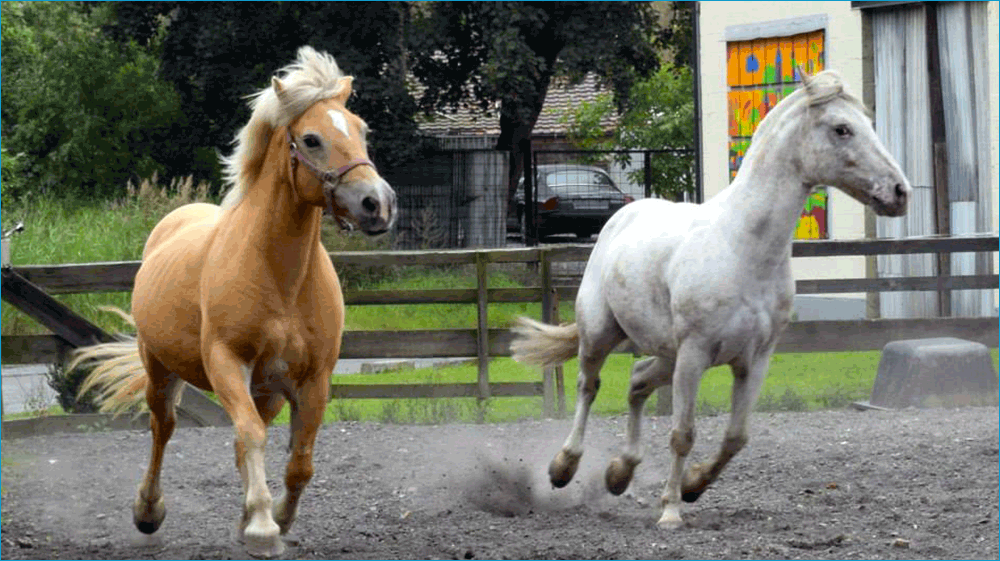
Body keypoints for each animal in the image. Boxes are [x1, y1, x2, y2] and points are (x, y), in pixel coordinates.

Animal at [72, 48, 394, 556]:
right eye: (311, 139)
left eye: (361, 130)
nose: (377, 204)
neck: (280, 279)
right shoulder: (226, 362)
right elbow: (251, 436)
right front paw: (263, 527)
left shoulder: (313, 380)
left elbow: (299, 461)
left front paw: (274, 519)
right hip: (160, 369)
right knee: (164, 429)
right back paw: (149, 511)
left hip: (265, 391)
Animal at [512, 68, 912, 528]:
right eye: (842, 129)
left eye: (869, 124)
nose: (899, 192)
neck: (743, 248)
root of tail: (621, 216)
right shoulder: (695, 354)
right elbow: (682, 434)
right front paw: (670, 511)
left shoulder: (754, 361)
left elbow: (736, 437)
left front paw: (692, 486)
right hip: (602, 335)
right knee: (588, 387)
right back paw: (564, 467)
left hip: (666, 355)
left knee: (636, 382)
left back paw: (619, 472)